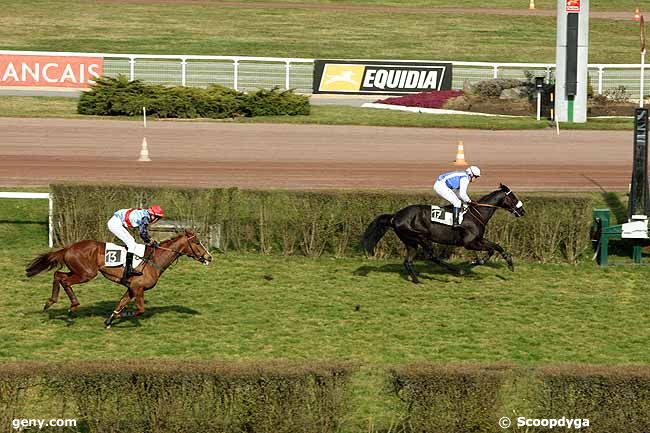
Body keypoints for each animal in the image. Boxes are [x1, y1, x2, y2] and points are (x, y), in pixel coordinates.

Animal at [25, 230, 211, 328]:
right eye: (197, 243)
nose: (209, 257)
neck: (155, 260)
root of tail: (69, 247)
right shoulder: (138, 289)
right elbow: (140, 310)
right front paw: (121, 316)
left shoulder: (131, 288)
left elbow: (121, 303)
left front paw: (110, 319)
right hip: (87, 274)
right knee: (64, 280)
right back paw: (73, 305)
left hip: (78, 271)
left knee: (58, 275)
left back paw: (50, 302)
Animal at [362, 184, 524, 282]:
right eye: (513, 197)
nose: (522, 211)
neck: (477, 213)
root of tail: (395, 216)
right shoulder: (470, 243)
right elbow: (493, 247)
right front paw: (482, 262)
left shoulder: (478, 239)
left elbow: (494, 248)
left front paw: (482, 261)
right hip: (421, 237)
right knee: (432, 256)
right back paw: (457, 271)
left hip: (410, 242)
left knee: (408, 261)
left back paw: (416, 280)